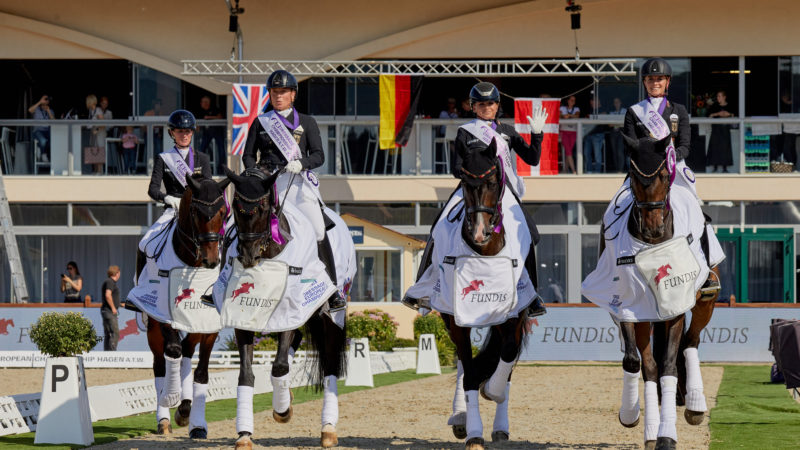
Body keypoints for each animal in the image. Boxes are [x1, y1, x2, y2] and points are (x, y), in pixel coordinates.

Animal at [133, 174, 228, 438]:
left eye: (223, 212)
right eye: (195, 211)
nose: (211, 260)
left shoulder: (209, 326)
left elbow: (201, 372)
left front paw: (195, 422)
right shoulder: (164, 316)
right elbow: (173, 352)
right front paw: (171, 396)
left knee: (186, 351)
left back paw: (185, 411)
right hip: (153, 327)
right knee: (160, 364)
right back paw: (164, 417)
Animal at [222, 169, 346, 450]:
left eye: (263, 208)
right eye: (235, 207)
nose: (248, 257)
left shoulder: (291, 310)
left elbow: (279, 366)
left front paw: (283, 410)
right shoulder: (242, 319)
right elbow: (246, 375)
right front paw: (244, 434)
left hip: (328, 316)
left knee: (330, 365)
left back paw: (328, 429)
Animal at [438, 142, 532, 450]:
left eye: (492, 181)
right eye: (465, 182)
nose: (480, 232)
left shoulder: (516, 315)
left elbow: (508, 355)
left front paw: (492, 390)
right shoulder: (456, 320)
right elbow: (467, 372)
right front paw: (473, 432)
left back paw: (500, 425)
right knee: (461, 364)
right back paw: (461, 417)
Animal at [600, 136, 724, 450]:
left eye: (666, 176)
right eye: (633, 176)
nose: (653, 228)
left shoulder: (676, 309)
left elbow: (669, 365)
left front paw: (667, 436)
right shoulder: (629, 307)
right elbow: (638, 362)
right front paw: (632, 416)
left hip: (706, 300)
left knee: (691, 341)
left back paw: (695, 405)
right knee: (651, 364)